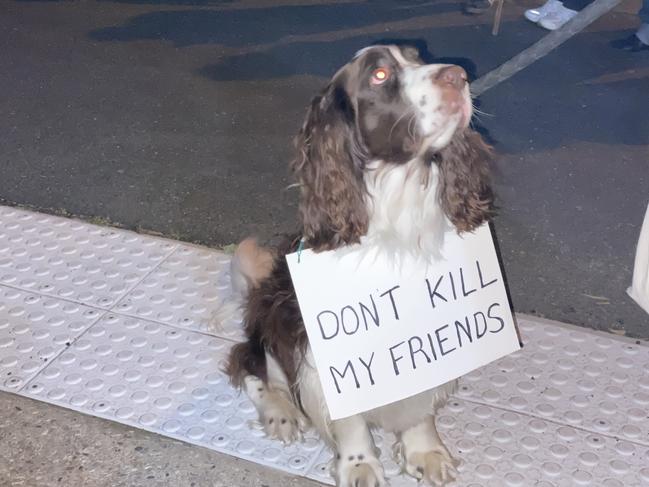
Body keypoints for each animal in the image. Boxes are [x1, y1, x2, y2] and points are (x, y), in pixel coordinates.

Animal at [223, 43, 492, 486]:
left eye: (418, 59)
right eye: (379, 75)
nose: (458, 75)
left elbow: (420, 405)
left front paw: (425, 452)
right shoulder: (324, 349)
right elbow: (347, 419)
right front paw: (360, 465)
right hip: (272, 312)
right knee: (250, 365)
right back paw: (281, 413)